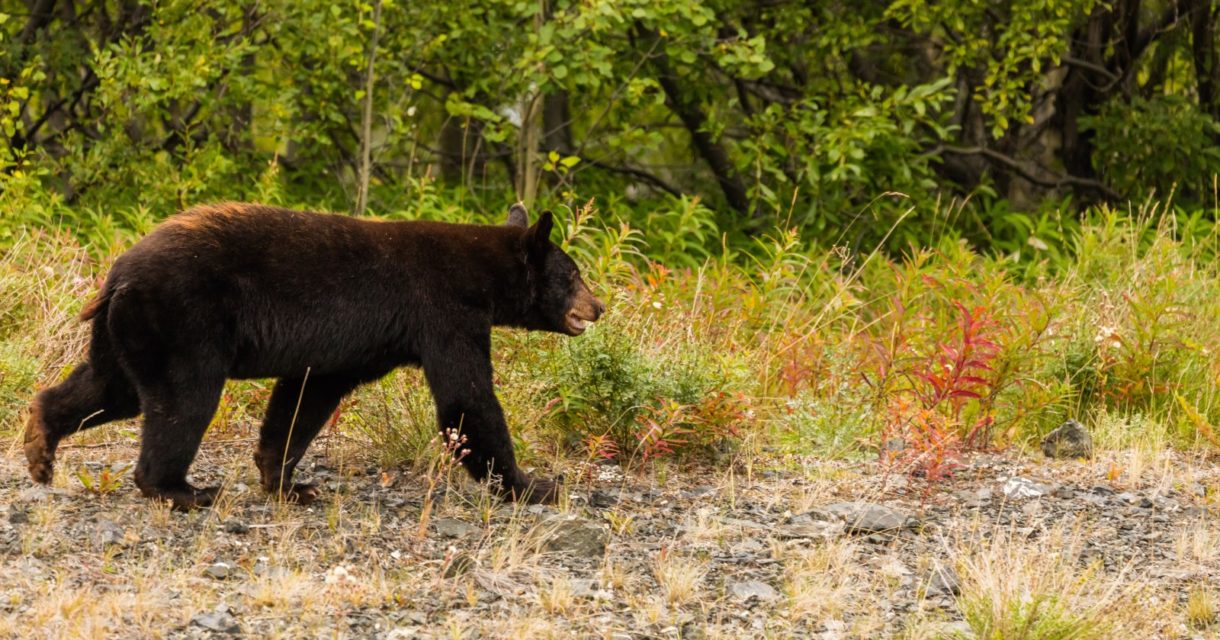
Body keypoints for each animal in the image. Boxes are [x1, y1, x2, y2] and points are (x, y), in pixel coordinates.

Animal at [23, 202, 605, 507]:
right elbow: (467, 398)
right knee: (182, 400)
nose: (598, 306)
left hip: (129, 331)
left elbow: (306, 396)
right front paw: (535, 484)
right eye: (573, 273)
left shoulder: (351, 346)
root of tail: (117, 273)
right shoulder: (444, 311)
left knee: (109, 387)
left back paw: (39, 446)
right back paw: (181, 489)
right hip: (183, 321)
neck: (483, 274)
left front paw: (287, 481)